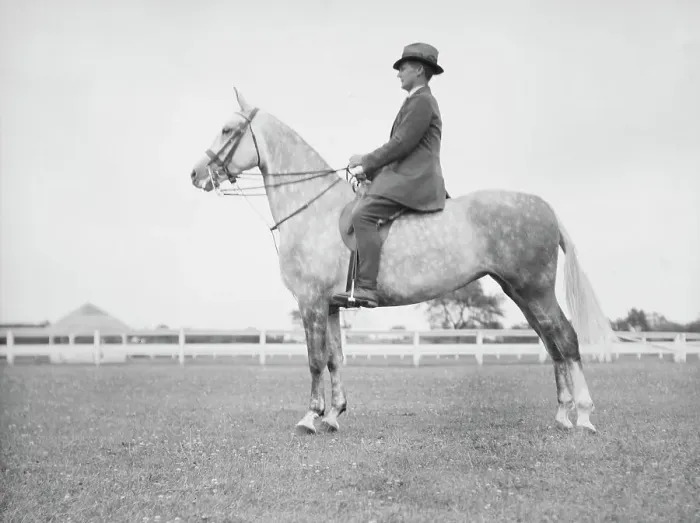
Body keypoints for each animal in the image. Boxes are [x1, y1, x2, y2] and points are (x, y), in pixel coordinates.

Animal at [189, 87, 616, 435]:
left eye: (227, 130)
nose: (195, 174)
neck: (313, 210)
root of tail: (544, 207)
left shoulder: (310, 302)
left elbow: (314, 360)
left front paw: (311, 417)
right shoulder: (331, 305)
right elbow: (335, 359)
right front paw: (333, 415)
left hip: (536, 290)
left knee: (566, 339)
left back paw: (583, 415)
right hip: (520, 292)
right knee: (551, 343)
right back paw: (562, 414)